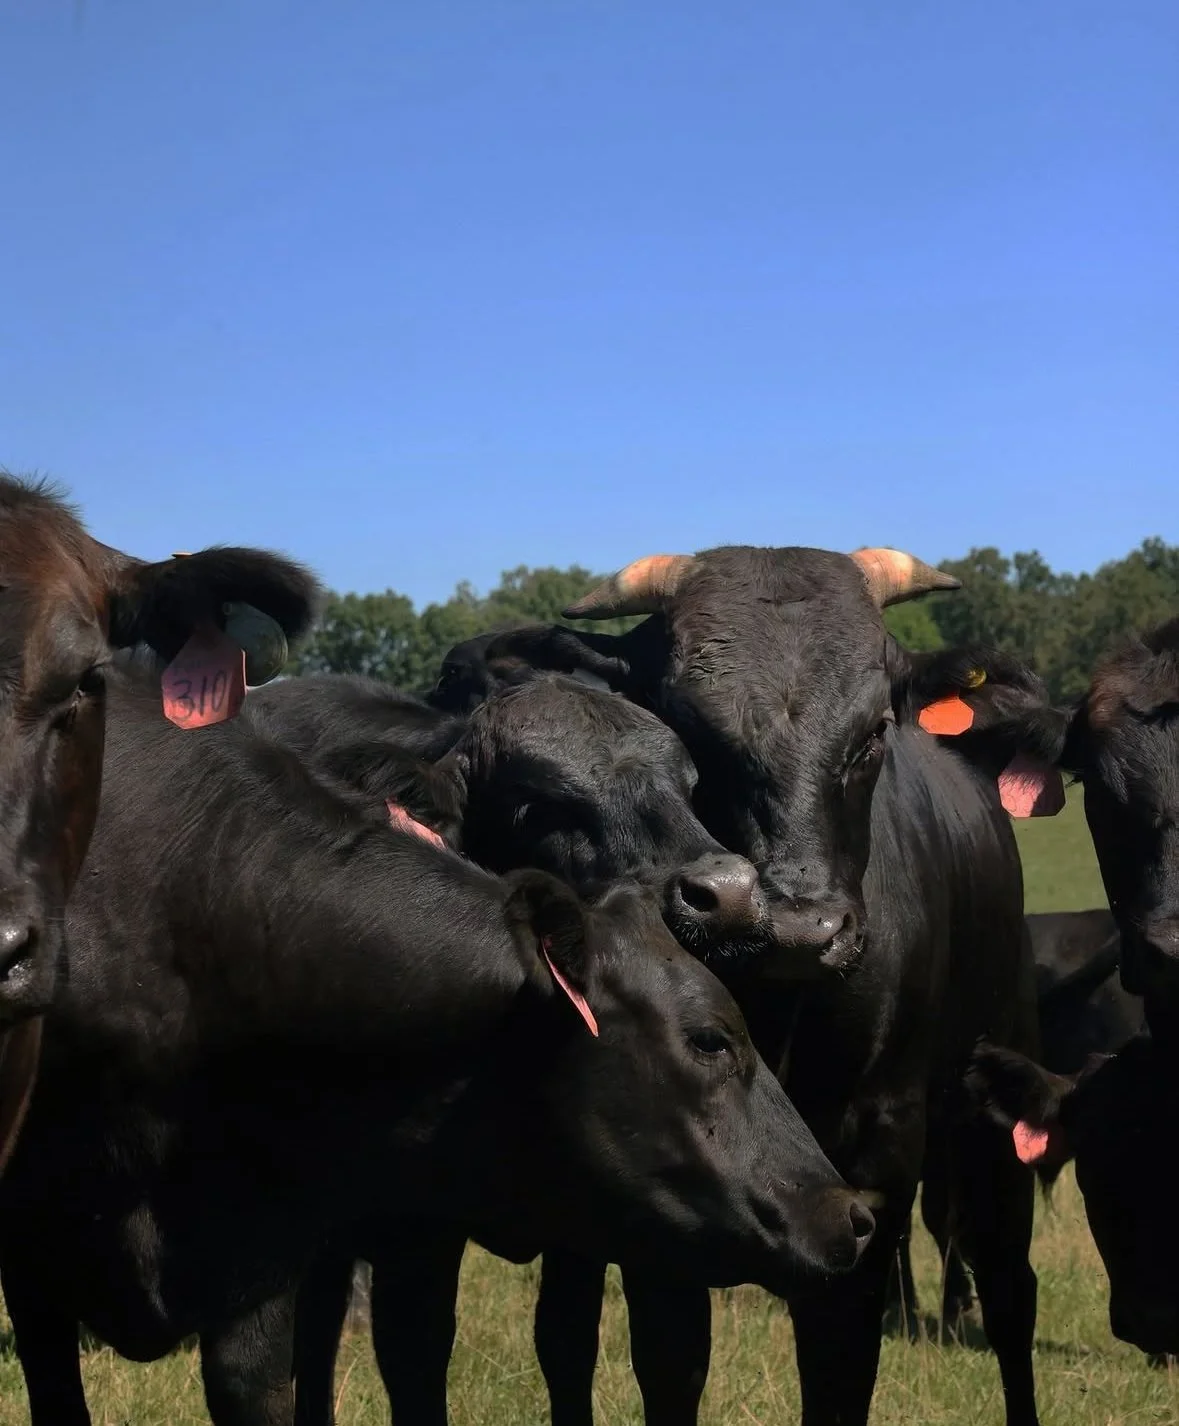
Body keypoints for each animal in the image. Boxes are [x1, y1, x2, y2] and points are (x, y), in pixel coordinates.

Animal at [428, 545, 1058, 1426]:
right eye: (690, 730)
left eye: (874, 729)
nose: (799, 927)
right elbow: (670, 1361)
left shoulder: (877, 1152)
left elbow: (839, 1363)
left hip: (995, 1103)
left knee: (1009, 1296)